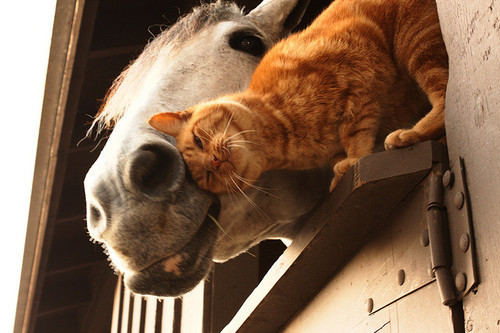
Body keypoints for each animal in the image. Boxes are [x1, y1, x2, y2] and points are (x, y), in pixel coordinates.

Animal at [149, 0, 450, 192]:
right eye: (206, 176)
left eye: (199, 140)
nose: (213, 161)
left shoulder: (357, 72)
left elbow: (356, 133)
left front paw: (353, 160)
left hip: (416, 44)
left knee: (444, 98)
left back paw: (410, 134)